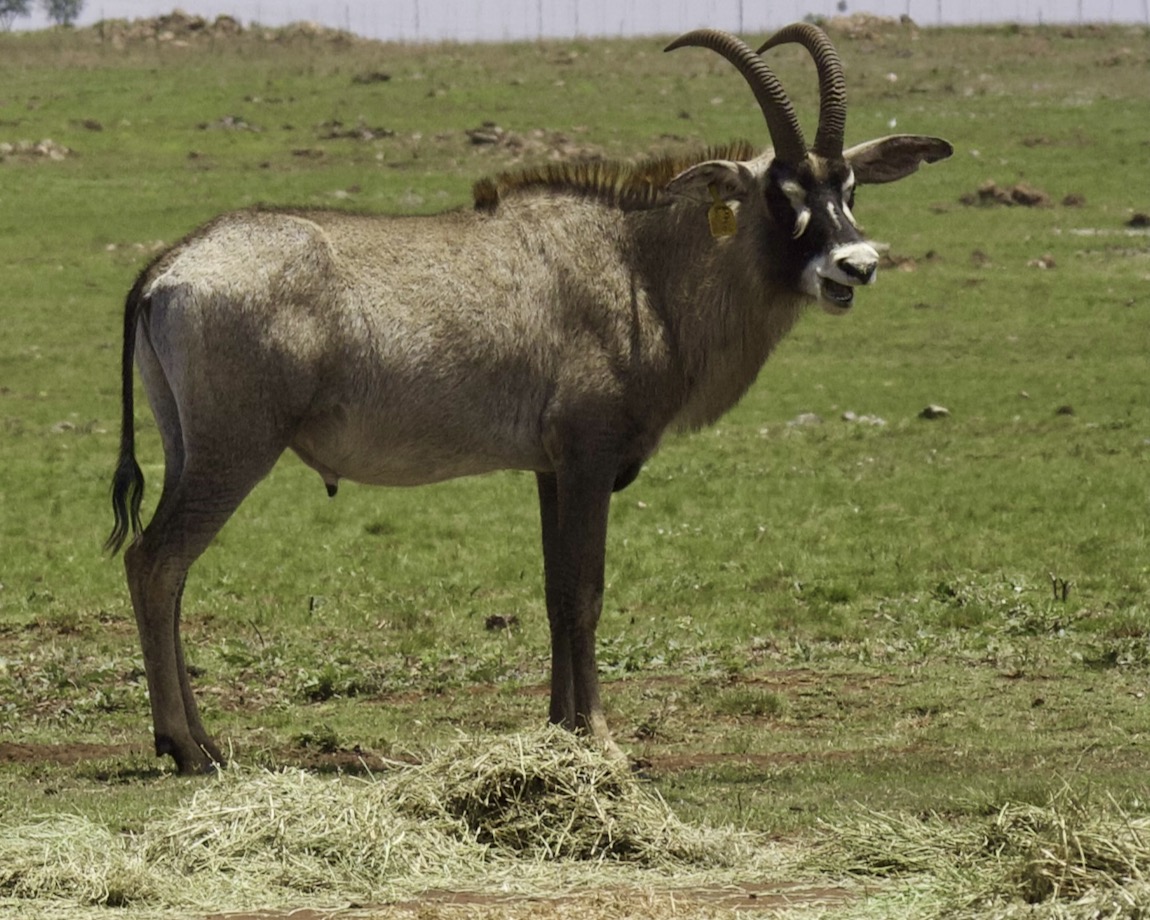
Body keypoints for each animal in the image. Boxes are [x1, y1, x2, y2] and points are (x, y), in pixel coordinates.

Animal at [107, 24, 952, 774]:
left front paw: (558, 732)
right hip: (235, 451)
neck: (640, 264)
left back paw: (204, 741)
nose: (855, 265)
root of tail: (167, 268)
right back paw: (185, 747)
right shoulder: (588, 460)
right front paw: (601, 739)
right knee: (157, 560)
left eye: (847, 186)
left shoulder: (549, 470)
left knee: (168, 570)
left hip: (191, 448)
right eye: (781, 192)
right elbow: (585, 591)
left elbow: (552, 592)